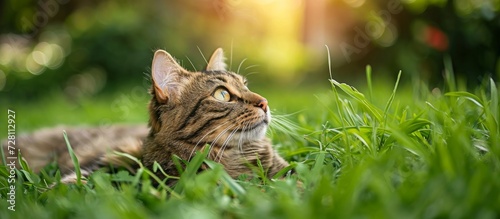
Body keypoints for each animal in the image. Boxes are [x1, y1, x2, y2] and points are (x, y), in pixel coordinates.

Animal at [2, 48, 290, 185]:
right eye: (222, 95)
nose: (264, 103)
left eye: (246, 85)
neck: (233, 159)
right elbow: (80, 181)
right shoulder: (113, 161)